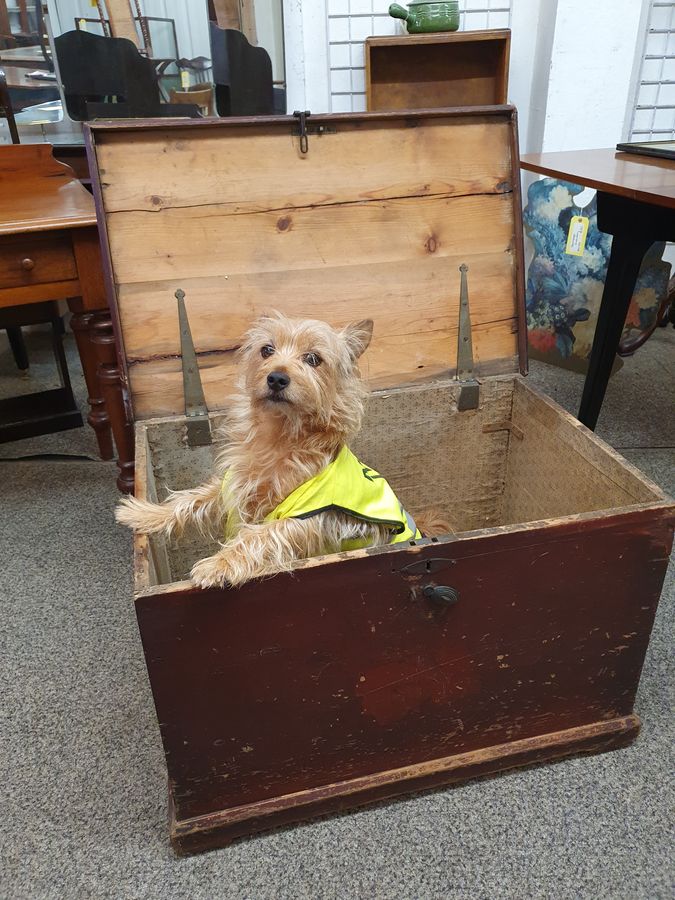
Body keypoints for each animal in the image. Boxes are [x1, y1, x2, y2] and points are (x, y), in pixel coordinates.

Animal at [116, 312, 446, 588]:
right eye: (266, 350)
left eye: (313, 358)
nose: (276, 377)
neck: (279, 436)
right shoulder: (235, 484)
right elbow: (190, 499)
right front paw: (145, 513)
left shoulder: (312, 517)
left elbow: (262, 534)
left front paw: (218, 564)